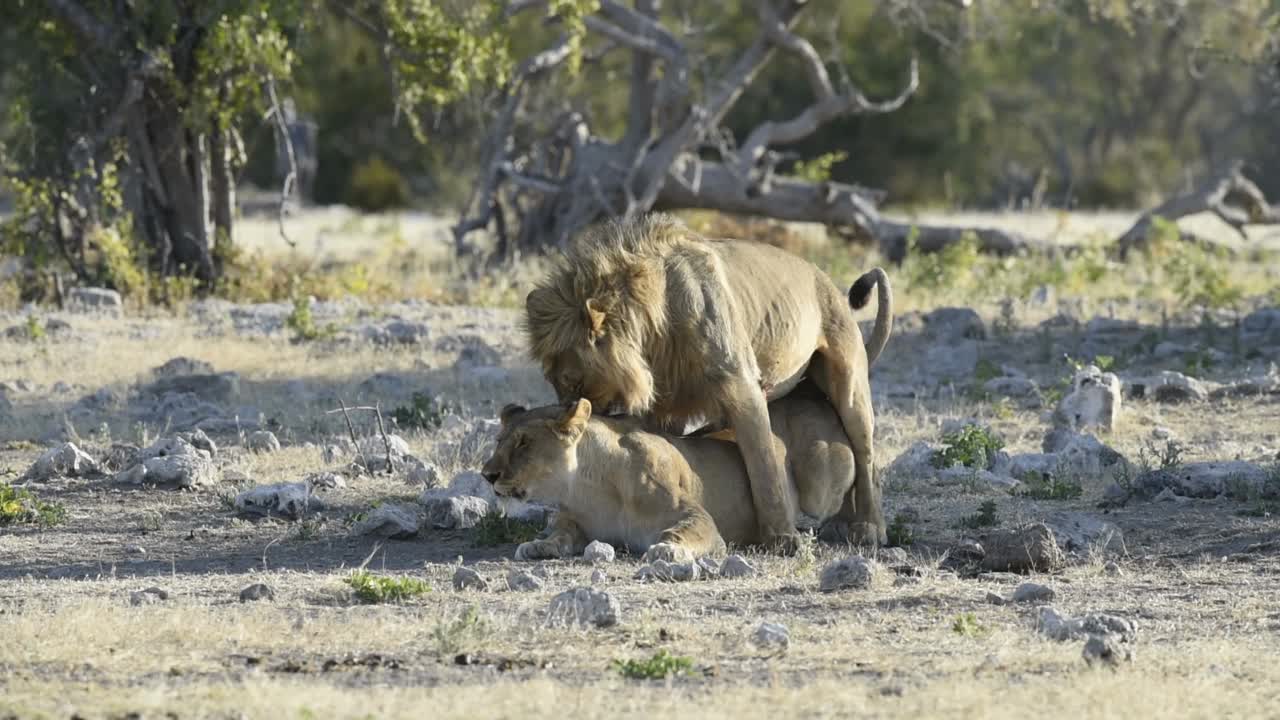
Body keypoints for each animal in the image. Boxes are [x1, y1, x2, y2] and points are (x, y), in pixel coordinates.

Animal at [483, 379, 865, 558]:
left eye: (524, 443)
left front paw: (667, 551)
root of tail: (810, 396)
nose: (487, 475)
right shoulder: (573, 520)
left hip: (820, 485)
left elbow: (681, 531)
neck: (588, 486)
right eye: (500, 440)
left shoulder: (697, 517)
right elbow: (559, 534)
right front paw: (537, 545)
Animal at [522, 211, 890, 543]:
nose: (570, 416)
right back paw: (842, 523)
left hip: (849, 382)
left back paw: (869, 529)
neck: (655, 326)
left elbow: (764, 467)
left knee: (866, 456)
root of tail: (826, 280)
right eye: (551, 381)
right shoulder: (661, 408)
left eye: (571, 381)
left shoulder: (742, 385)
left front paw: (781, 538)